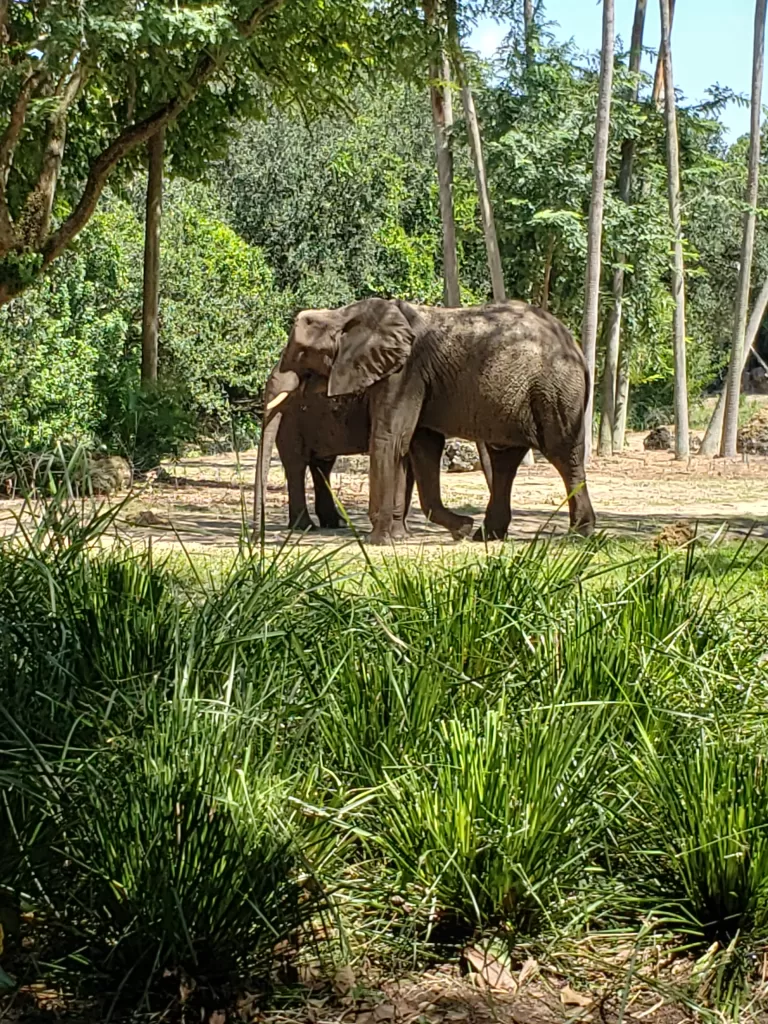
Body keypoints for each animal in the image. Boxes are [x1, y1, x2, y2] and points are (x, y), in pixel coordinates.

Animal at [253, 362, 493, 536]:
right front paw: (398, 533)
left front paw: (401, 531)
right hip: (291, 418)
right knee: (297, 463)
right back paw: (305, 527)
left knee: (322, 464)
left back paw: (335, 523)